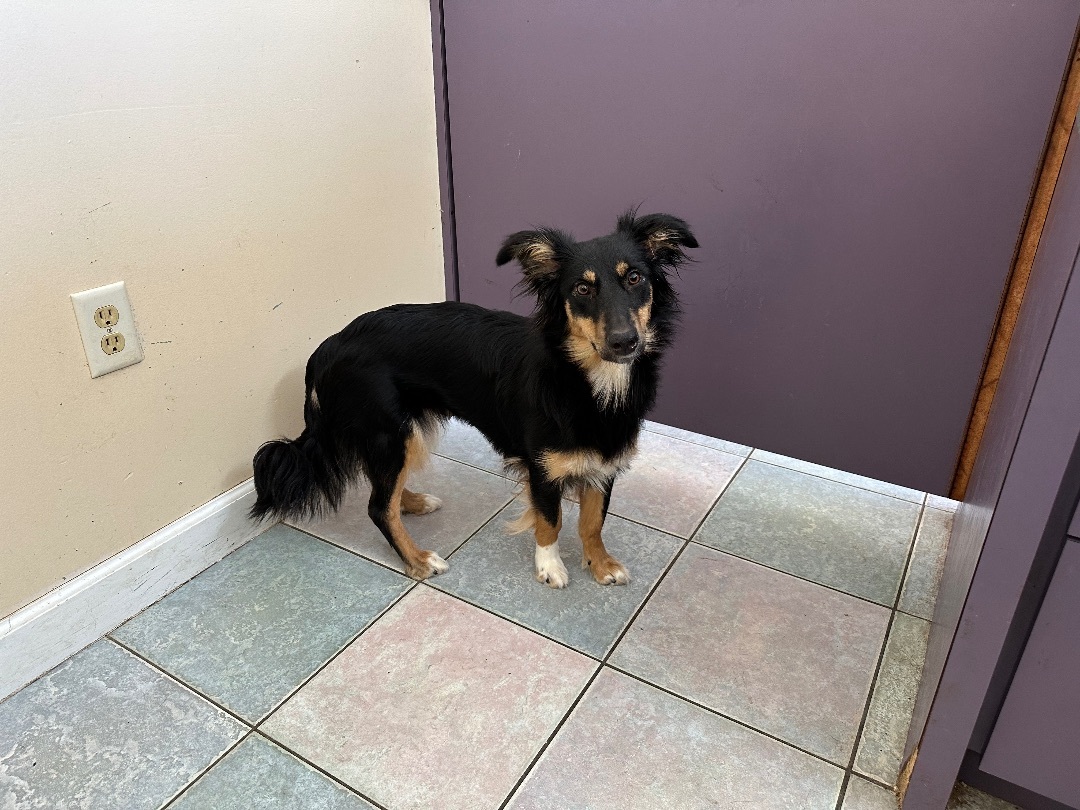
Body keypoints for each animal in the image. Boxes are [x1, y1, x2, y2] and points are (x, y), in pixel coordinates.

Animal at [248, 209, 695, 591]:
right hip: (391, 432)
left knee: (384, 492)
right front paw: (549, 567)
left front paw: (600, 564)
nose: (625, 342)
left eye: (635, 278)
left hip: (397, 435)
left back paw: (414, 502)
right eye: (582, 289)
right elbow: (550, 521)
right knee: (378, 507)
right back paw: (418, 559)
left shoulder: (605, 462)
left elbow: (592, 521)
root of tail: (329, 346)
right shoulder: (543, 469)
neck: (586, 381)